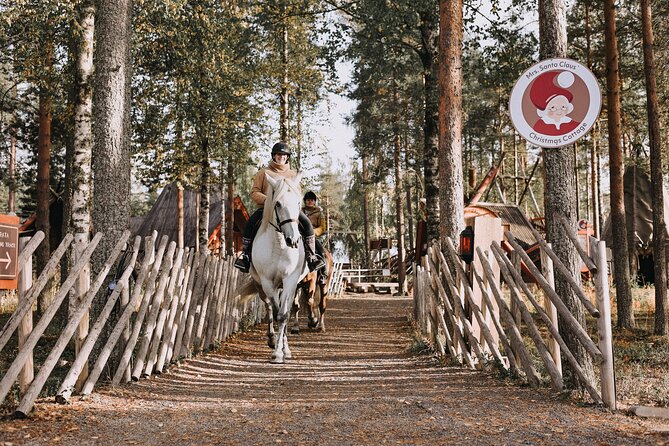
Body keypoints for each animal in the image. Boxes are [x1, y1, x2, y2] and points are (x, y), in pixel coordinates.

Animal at [248, 172, 308, 364]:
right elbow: (275, 312)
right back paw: (272, 339)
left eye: (298, 202)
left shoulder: (290, 280)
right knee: (268, 307)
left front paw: (281, 352)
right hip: (262, 286)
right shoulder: (267, 282)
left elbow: (284, 315)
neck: (280, 246)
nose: (293, 240)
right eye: (278, 204)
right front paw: (276, 351)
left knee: (287, 310)